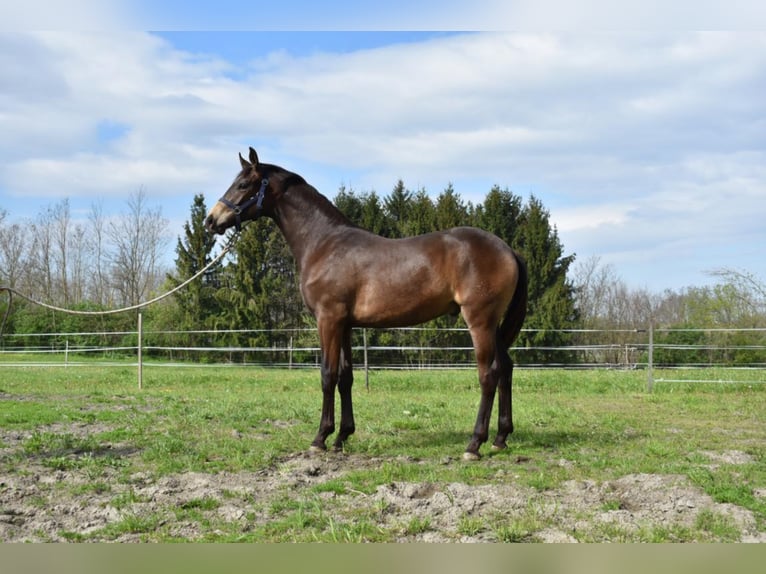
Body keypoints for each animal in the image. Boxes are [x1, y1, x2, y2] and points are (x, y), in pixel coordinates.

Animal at [206, 150, 528, 464]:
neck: (324, 244)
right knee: (506, 368)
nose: (211, 220)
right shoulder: (345, 324)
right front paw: (341, 437)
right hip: (493, 325)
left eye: (243, 184)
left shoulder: (328, 319)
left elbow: (327, 375)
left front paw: (320, 439)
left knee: (488, 375)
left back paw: (474, 444)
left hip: (480, 321)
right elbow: (345, 377)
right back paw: (500, 438)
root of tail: (508, 250)